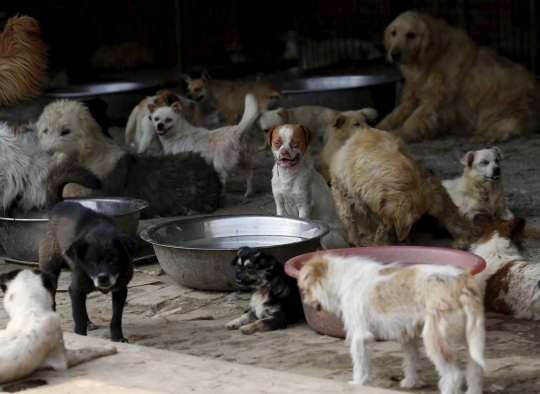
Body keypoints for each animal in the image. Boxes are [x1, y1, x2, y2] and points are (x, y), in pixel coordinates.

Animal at [39, 160, 138, 342]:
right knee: (52, 300)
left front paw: (117, 337)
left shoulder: (121, 290)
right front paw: (81, 337)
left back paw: (89, 322)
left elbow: (115, 318)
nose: (103, 278)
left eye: (113, 259)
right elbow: (78, 319)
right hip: (50, 270)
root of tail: (58, 206)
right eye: (91, 261)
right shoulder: (75, 289)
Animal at [298, 254, 488, 392]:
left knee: (453, 376)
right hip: (471, 338)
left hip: (436, 338)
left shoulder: (360, 335)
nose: (305, 300)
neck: (342, 278)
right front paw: (412, 382)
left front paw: (358, 382)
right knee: (476, 371)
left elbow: (360, 362)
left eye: (305, 289)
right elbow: (411, 359)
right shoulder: (407, 334)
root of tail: (461, 282)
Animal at [332, 126, 470, 248]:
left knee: (458, 223)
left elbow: (382, 230)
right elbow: (349, 222)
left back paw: (461, 241)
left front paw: (379, 246)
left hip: (438, 202)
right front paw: (353, 244)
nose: (401, 236)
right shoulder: (341, 193)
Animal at [376, 10, 540, 143]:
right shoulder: (410, 99)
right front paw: (377, 128)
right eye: (393, 33)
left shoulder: (433, 102)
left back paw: (488, 135)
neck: (431, 57)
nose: (394, 54)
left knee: (510, 126)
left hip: (502, 105)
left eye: (411, 35)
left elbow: (412, 120)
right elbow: (392, 116)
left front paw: (398, 134)